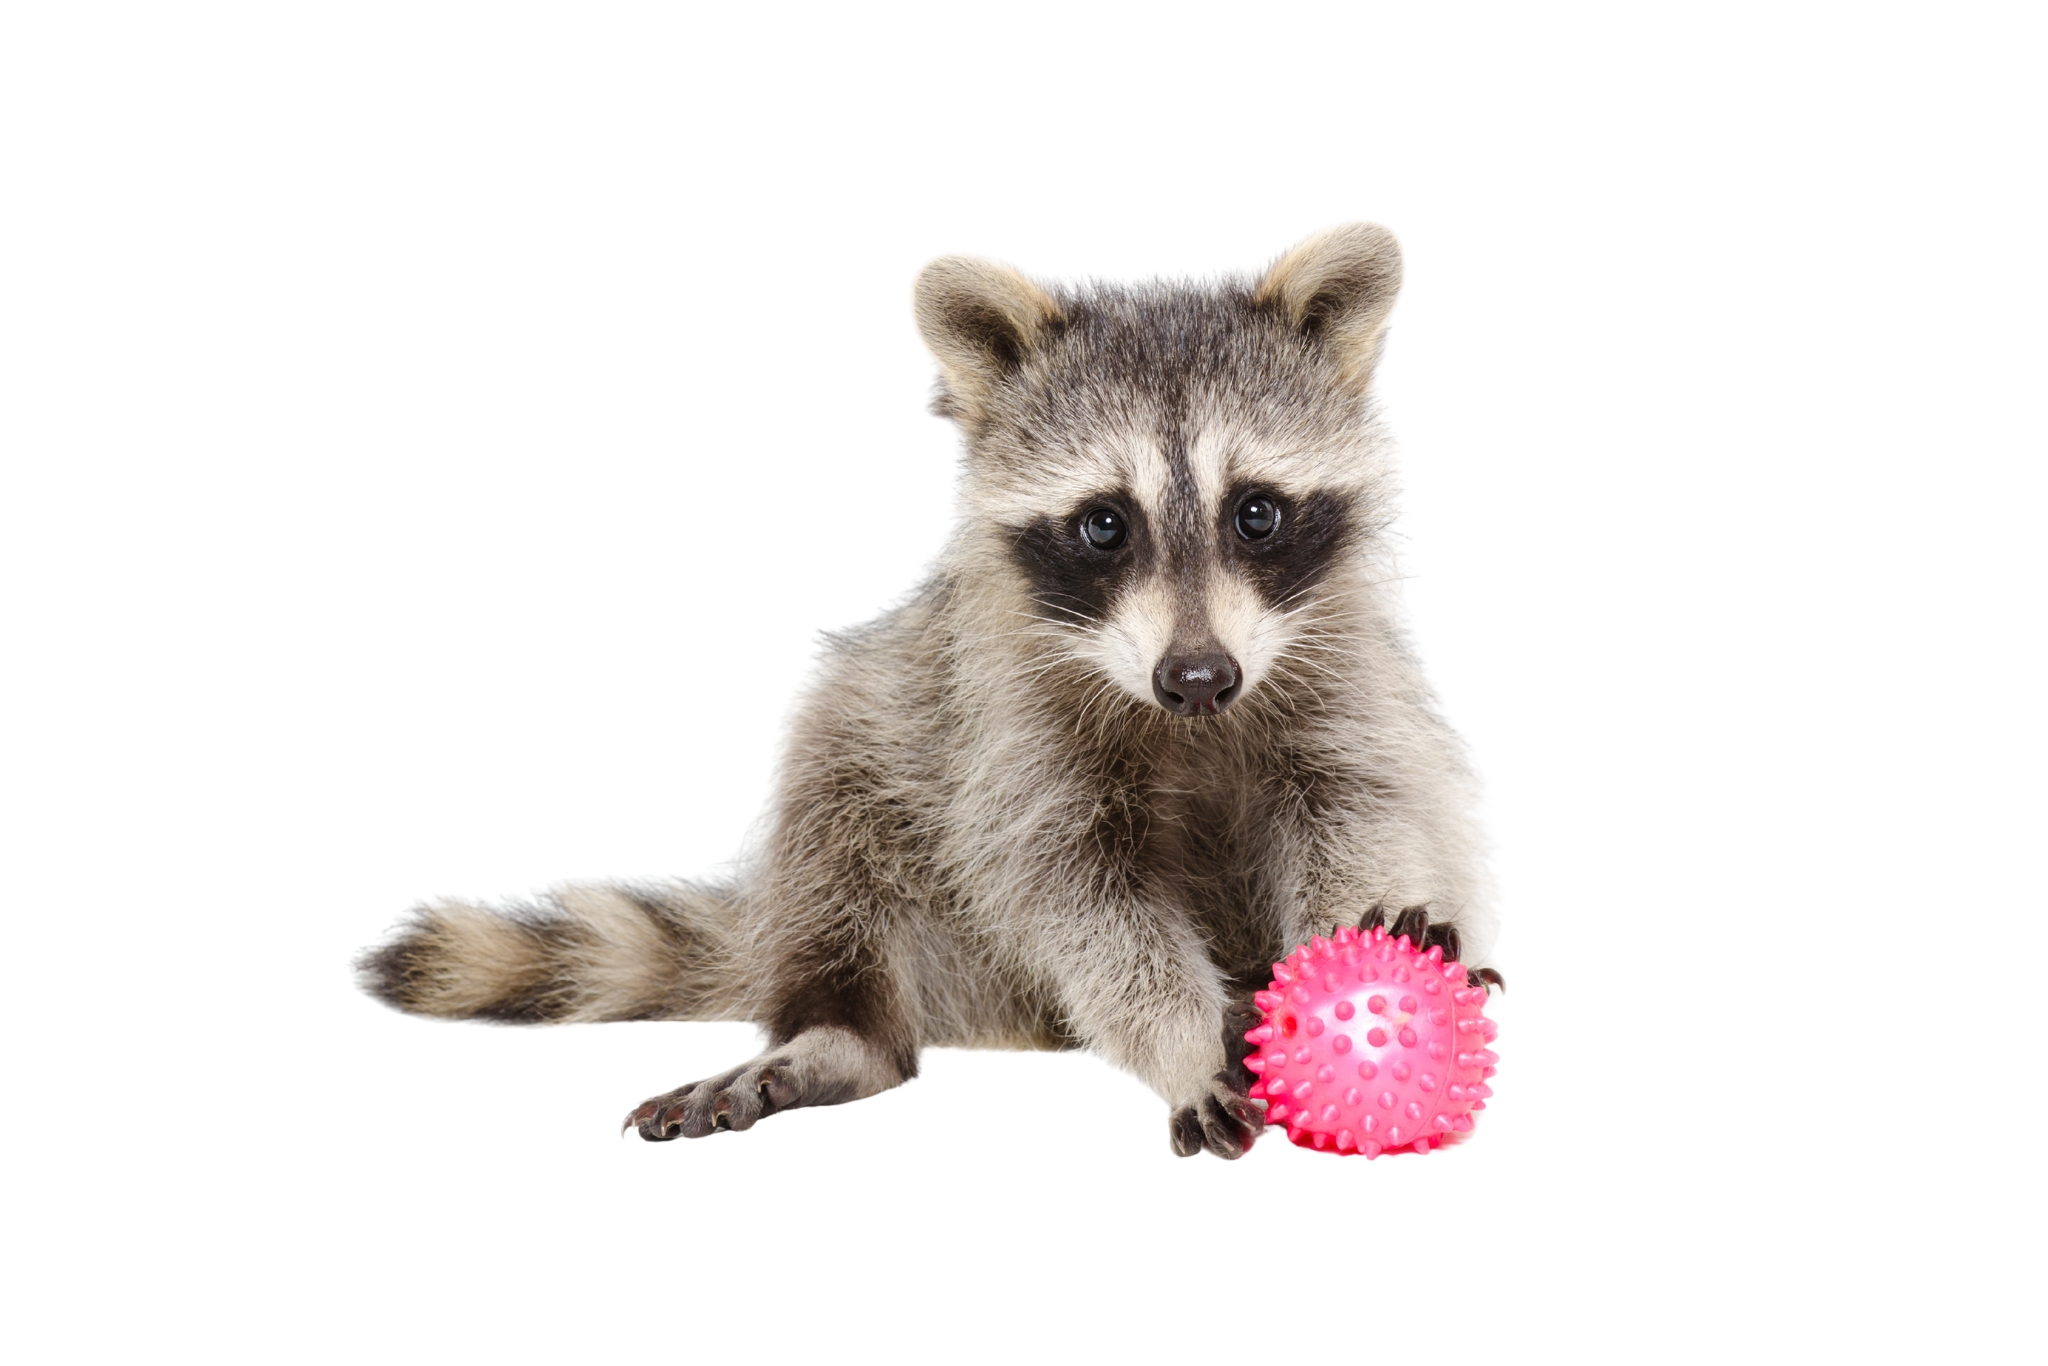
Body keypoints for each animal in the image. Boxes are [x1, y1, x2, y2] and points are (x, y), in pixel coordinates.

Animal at [358, 223, 1495, 1159]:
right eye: (1104, 524)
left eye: (1254, 512)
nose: (1197, 678)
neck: (1184, 713)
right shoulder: (1006, 723)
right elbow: (1082, 902)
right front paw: (1181, 1044)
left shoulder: (1338, 673)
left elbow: (1361, 808)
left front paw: (1351, 953)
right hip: (900, 759)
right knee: (836, 792)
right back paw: (840, 1032)